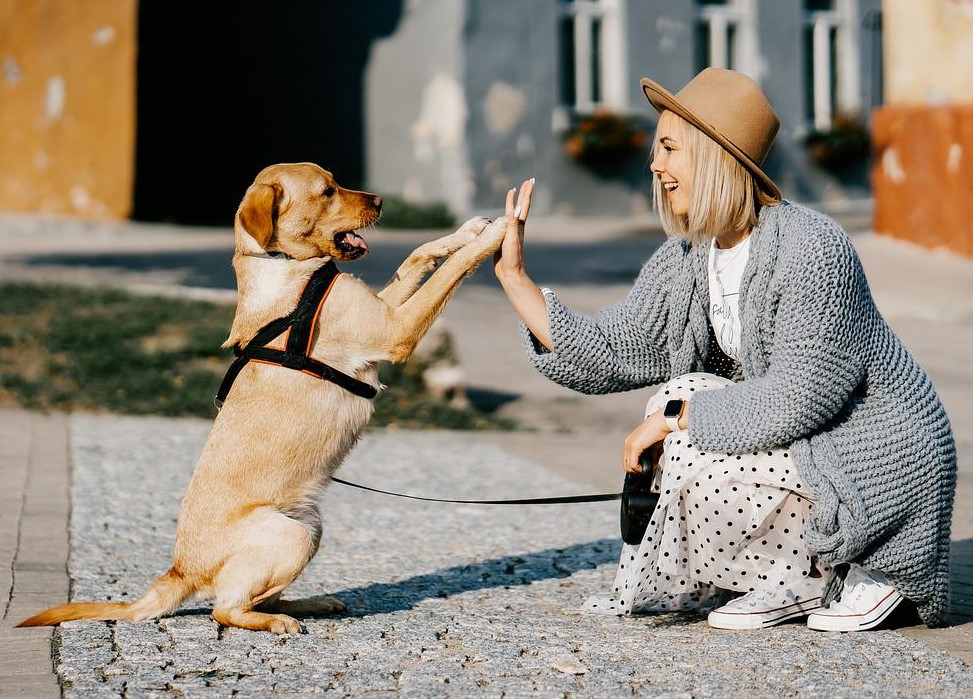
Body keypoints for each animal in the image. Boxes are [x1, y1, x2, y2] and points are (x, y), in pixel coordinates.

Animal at [19, 164, 508, 636]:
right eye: (327, 191)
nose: (381, 200)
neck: (286, 267)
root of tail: (179, 570)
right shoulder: (395, 330)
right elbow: (449, 272)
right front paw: (497, 234)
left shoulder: (384, 309)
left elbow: (419, 256)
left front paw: (468, 230)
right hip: (290, 537)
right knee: (224, 609)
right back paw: (277, 621)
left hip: (310, 527)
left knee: (255, 597)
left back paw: (310, 604)